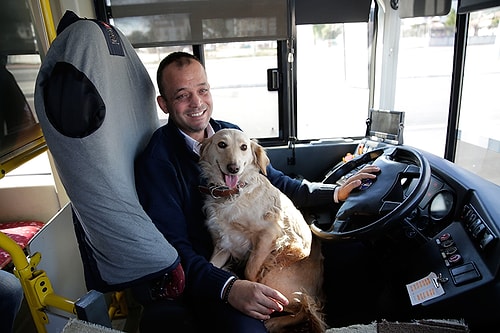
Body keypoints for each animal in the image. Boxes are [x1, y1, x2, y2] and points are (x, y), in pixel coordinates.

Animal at [199, 127, 328, 332]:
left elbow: (250, 271)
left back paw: (274, 321)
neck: (233, 194)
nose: (233, 168)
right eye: (222, 144)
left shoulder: (269, 234)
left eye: (244, 147)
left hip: (274, 276)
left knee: (304, 307)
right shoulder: (223, 244)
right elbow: (211, 265)